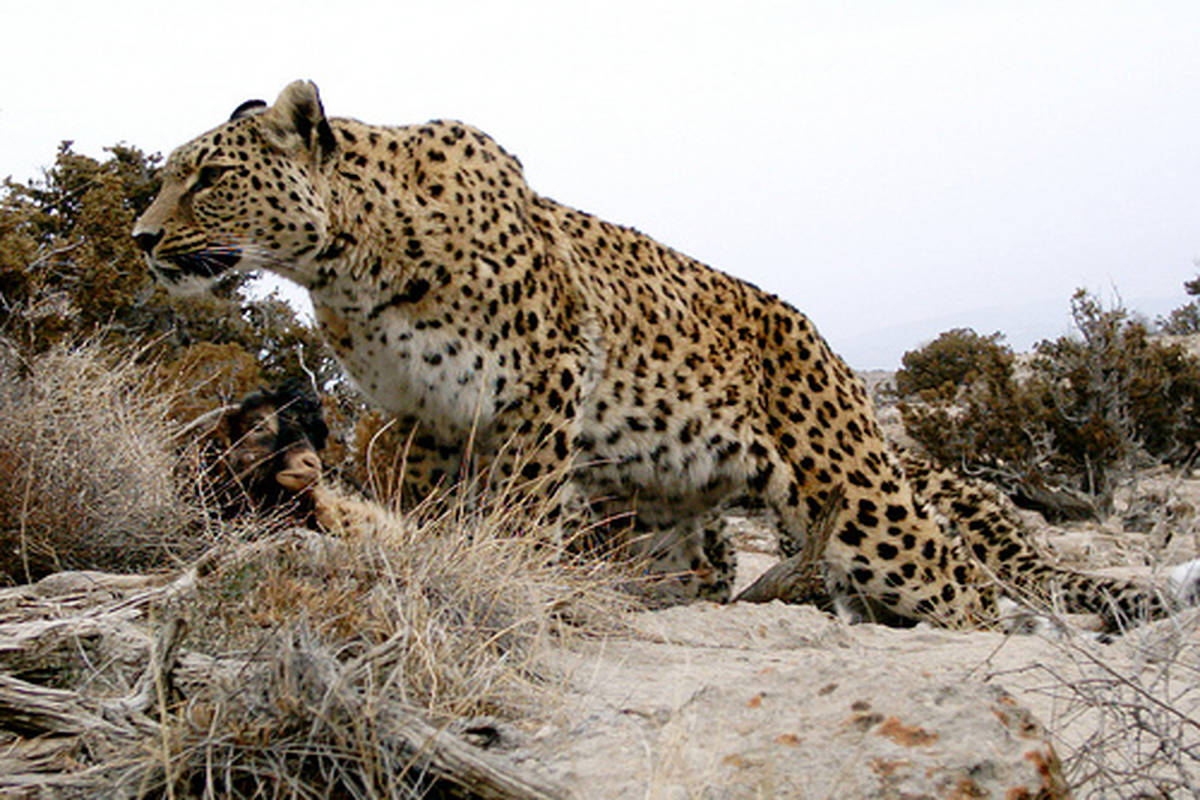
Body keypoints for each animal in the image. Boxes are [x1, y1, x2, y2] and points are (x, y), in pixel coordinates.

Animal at [134, 80, 1173, 630]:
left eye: (210, 176)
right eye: (169, 176)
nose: (142, 238)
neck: (351, 263)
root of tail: (826, 345)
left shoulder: (544, 381)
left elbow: (517, 506)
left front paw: (499, 575)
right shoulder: (420, 415)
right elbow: (424, 505)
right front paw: (427, 563)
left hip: (859, 500)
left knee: (959, 580)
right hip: (661, 515)